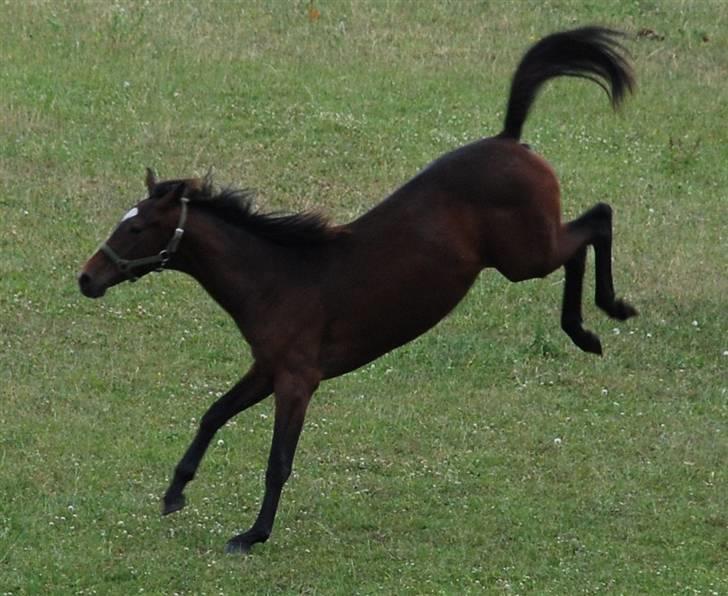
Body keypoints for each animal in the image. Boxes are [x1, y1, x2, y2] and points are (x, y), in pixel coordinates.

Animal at [78, 25, 636, 552]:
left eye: (135, 228)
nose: (86, 278)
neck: (274, 276)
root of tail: (509, 138)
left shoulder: (297, 380)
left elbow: (278, 461)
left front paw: (252, 534)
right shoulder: (267, 369)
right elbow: (212, 413)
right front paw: (175, 493)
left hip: (525, 257)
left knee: (598, 220)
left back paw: (605, 314)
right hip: (527, 254)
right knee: (587, 234)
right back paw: (586, 329)